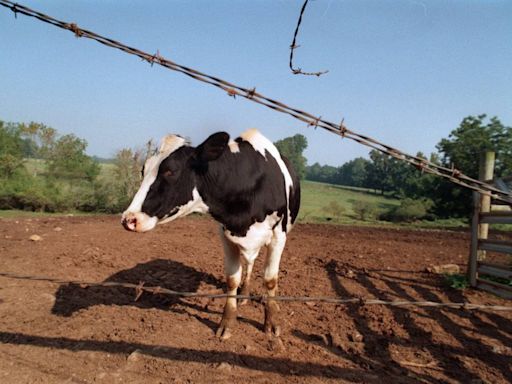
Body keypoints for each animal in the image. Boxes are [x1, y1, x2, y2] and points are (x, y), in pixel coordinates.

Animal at [121, 128, 300, 340]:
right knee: (249, 263)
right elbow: (232, 279)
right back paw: (245, 293)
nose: (129, 219)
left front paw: (271, 323)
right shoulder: (226, 235)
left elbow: (270, 280)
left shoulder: (279, 235)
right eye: (143, 169)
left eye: (170, 171)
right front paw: (227, 323)